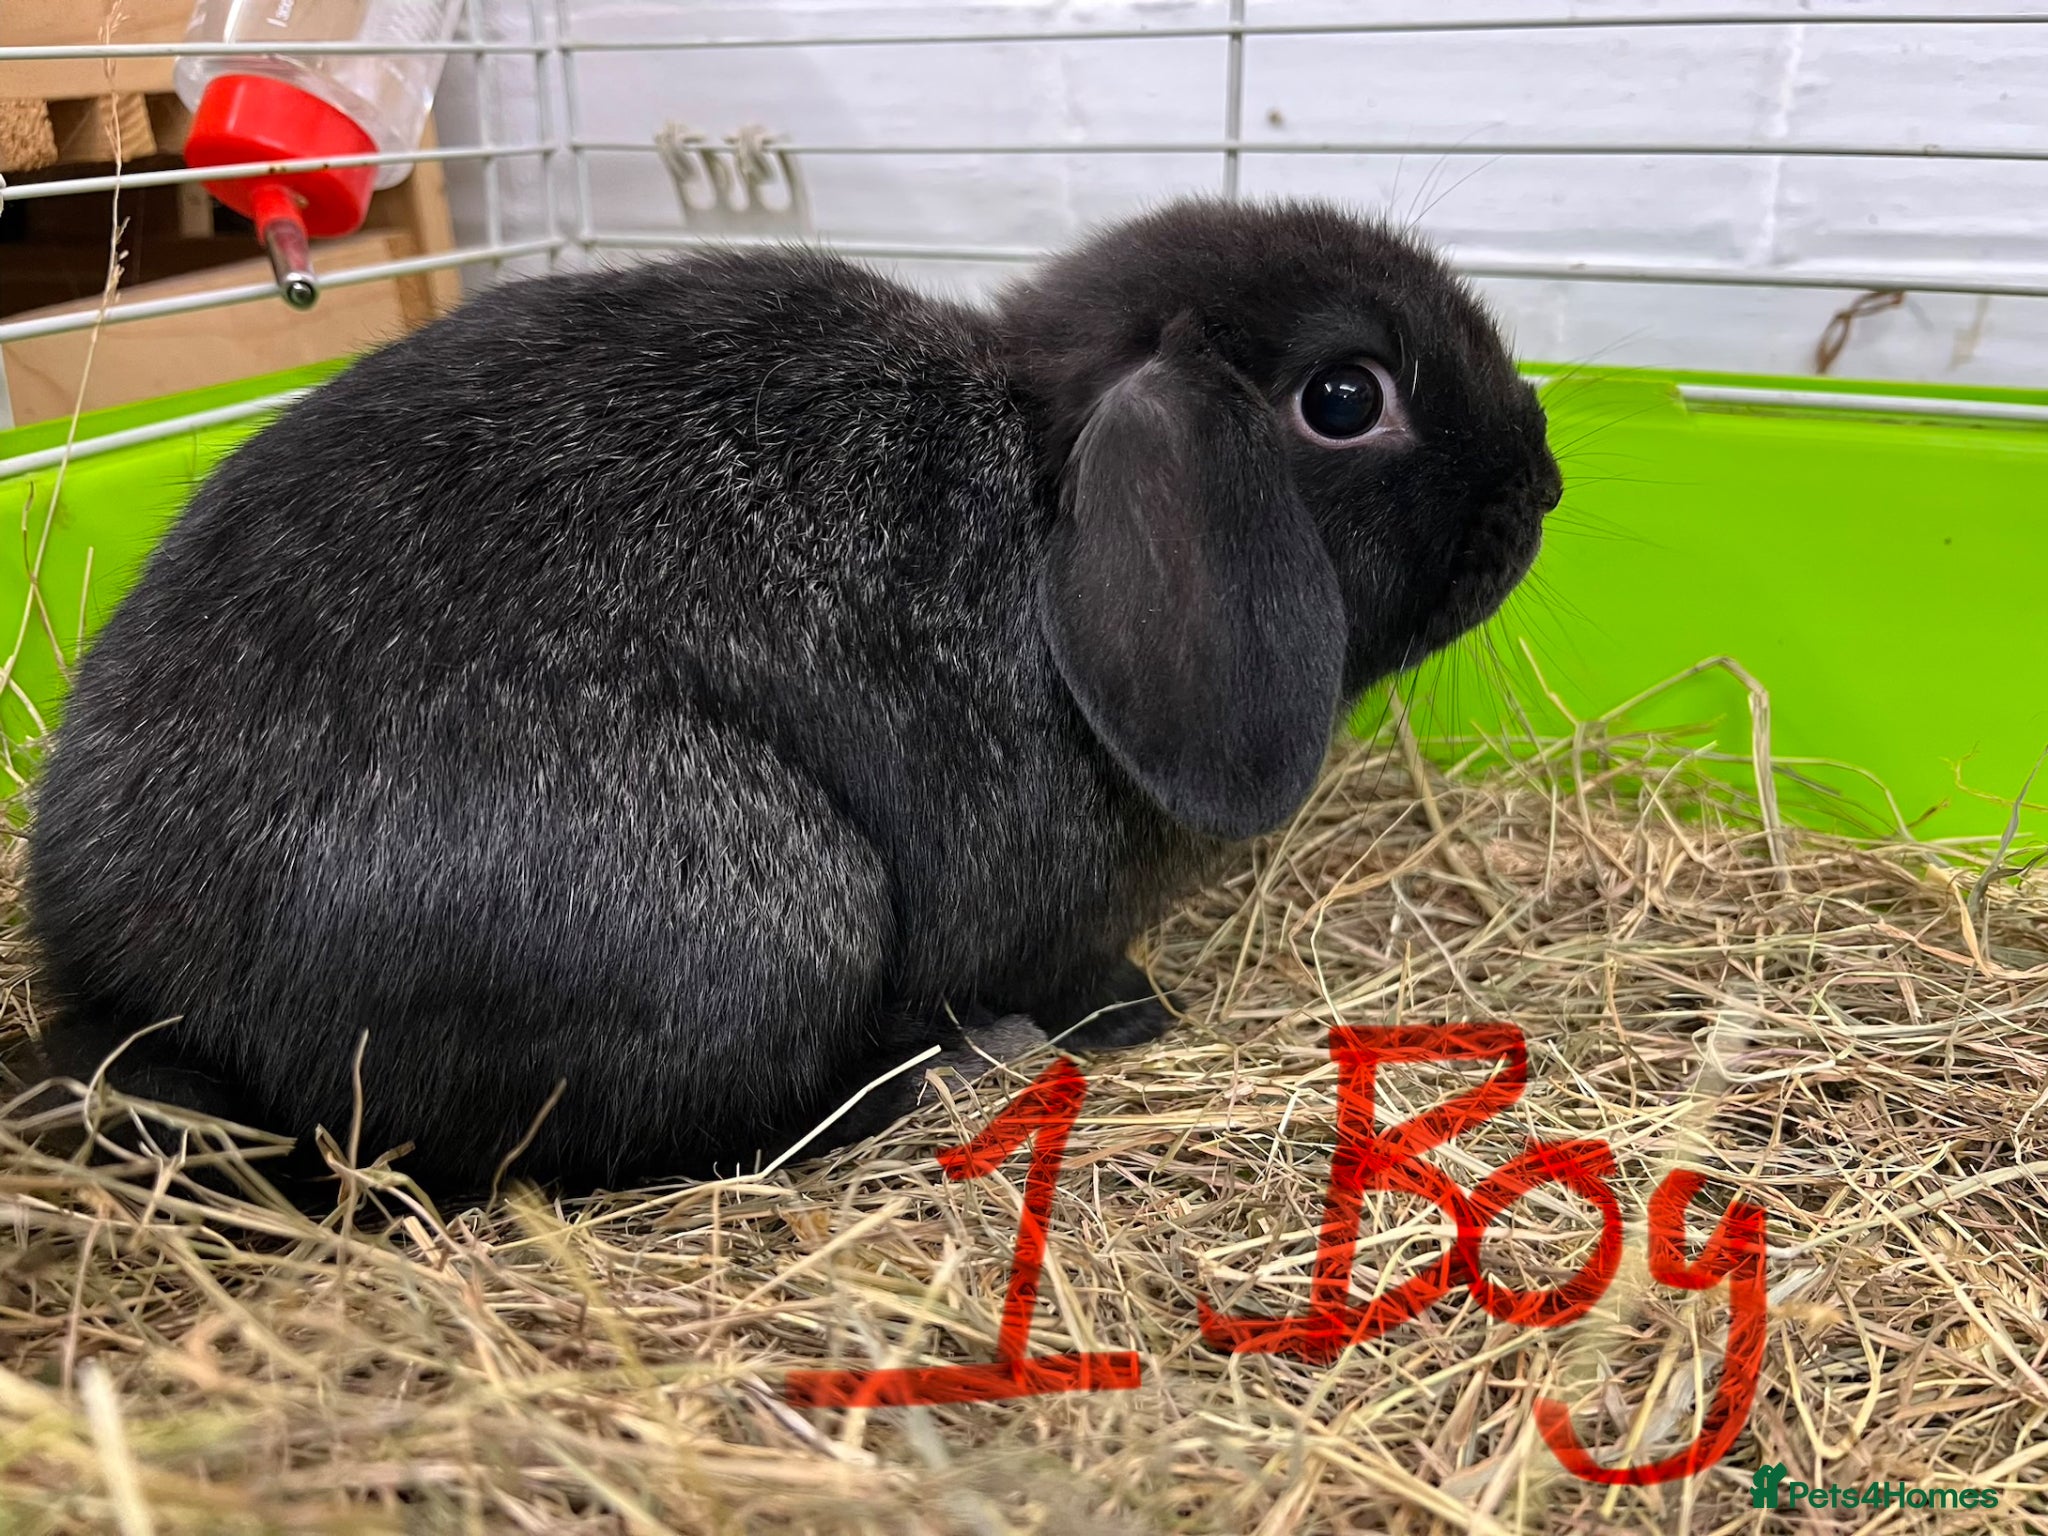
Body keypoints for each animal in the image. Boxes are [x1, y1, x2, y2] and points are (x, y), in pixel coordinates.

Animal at [25, 196, 1561, 1198]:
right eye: (1344, 397)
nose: (1542, 479)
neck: (1042, 478)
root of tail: (136, 988)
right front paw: (1128, 1015)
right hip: (768, 904)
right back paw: (931, 1078)